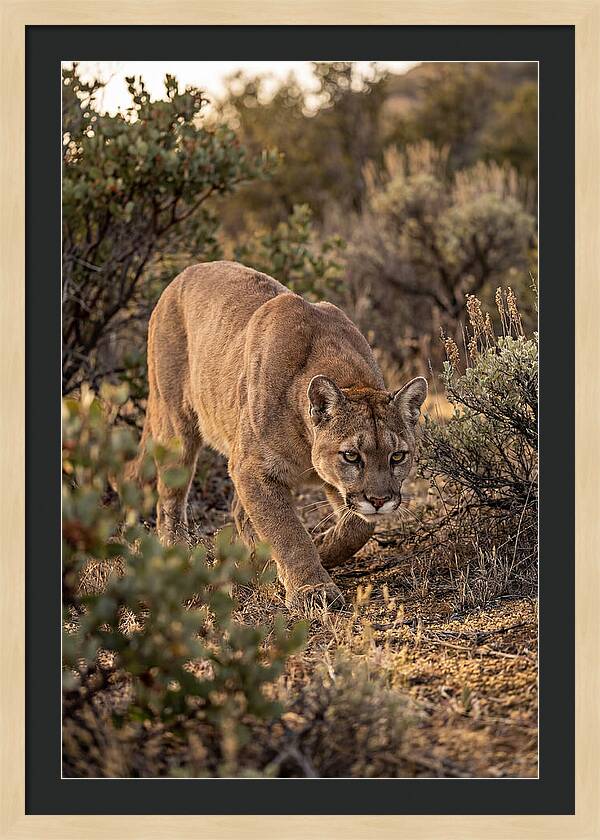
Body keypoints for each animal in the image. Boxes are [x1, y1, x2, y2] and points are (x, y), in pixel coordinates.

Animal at [128, 261, 427, 608]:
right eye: (352, 456)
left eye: (398, 456)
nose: (379, 500)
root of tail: (184, 273)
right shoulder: (253, 468)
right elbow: (286, 530)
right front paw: (312, 588)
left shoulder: (328, 482)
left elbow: (357, 526)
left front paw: (322, 548)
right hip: (176, 425)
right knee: (170, 500)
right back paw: (178, 552)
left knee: (238, 511)